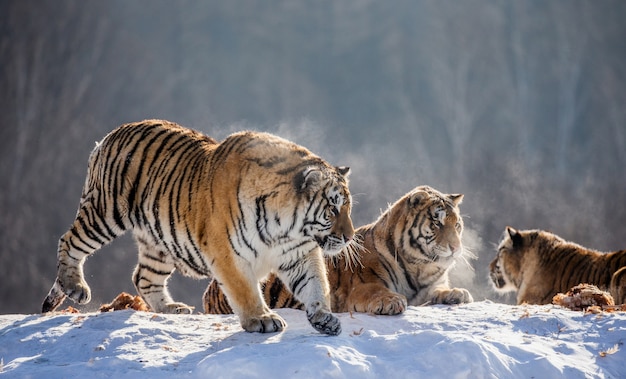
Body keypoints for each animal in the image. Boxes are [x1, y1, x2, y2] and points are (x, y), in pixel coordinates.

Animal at [205, 186, 472, 316]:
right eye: (437, 223)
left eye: (457, 225)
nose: (456, 247)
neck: (420, 267)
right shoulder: (360, 286)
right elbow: (377, 291)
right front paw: (391, 301)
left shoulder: (431, 285)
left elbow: (441, 290)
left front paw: (457, 293)